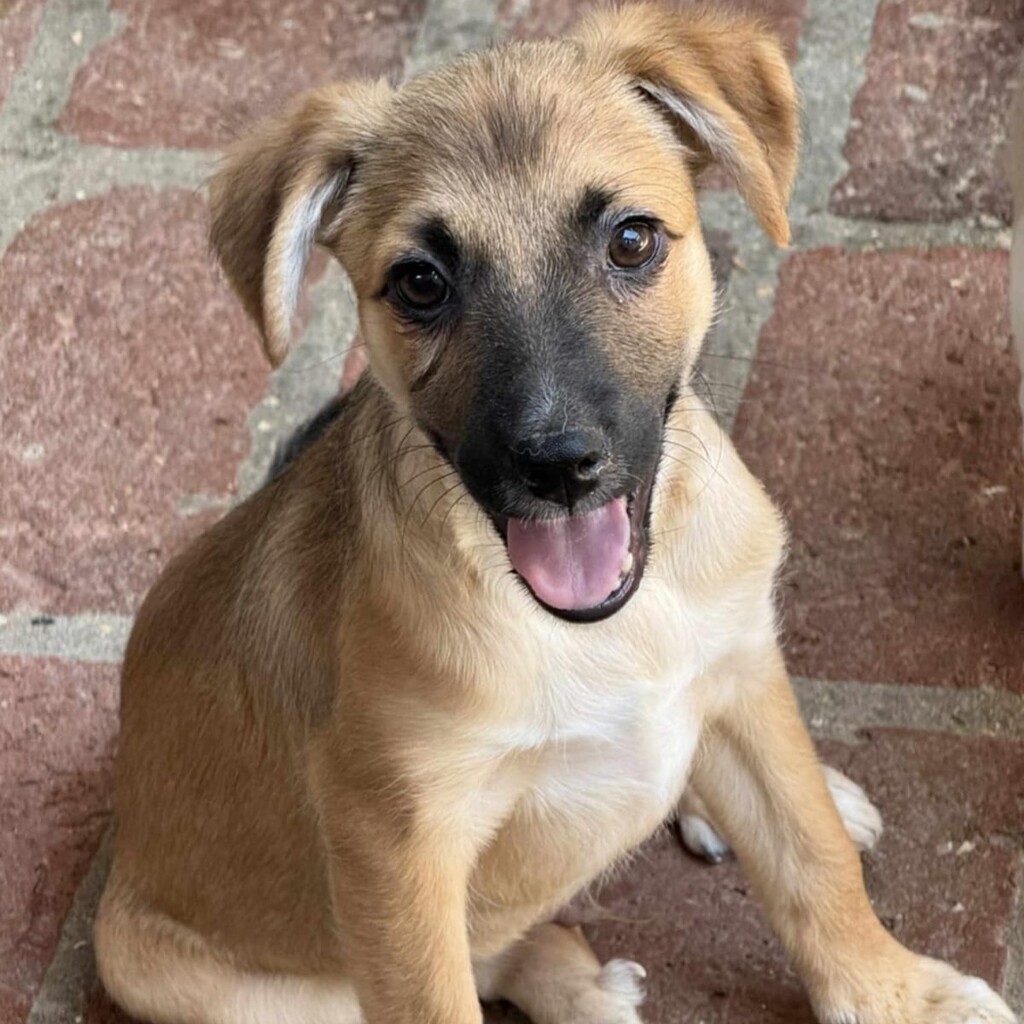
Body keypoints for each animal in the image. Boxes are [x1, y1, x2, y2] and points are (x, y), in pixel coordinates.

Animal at [93, 5, 1017, 1022]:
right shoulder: (395, 845)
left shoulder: (739, 665)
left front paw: (895, 992)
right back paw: (575, 983)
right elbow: (439, 995)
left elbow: (808, 856)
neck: (607, 631)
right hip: (185, 973)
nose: (561, 466)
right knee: (492, 948)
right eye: (420, 282)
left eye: (631, 240)